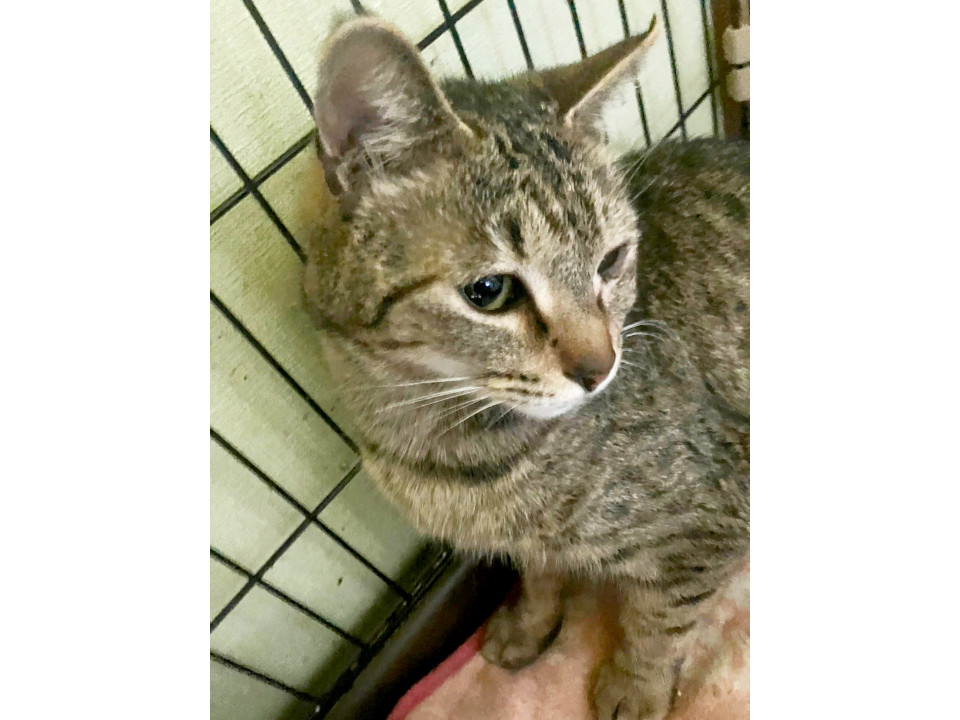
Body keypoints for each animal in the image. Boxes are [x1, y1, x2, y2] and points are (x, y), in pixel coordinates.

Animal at [301, 15, 748, 720]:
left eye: (612, 261)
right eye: (489, 291)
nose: (601, 367)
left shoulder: (714, 516)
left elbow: (660, 617)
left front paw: (635, 686)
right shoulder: (527, 540)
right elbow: (536, 574)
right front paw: (531, 622)